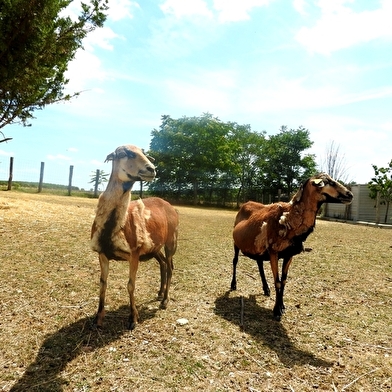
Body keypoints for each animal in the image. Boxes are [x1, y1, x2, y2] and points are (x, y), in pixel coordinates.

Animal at [91, 145, 178, 330]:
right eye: (126, 153)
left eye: (145, 154)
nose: (152, 169)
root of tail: (170, 205)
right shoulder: (102, 254)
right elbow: (103, 284)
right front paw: (98, 318)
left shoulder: (134, 254)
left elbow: (131, 285)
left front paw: (133, 319)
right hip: (155, 247)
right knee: (163, 264)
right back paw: (159, 294)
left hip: (171, 242)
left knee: (170, 267)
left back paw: (165, 300)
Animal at [231, 173, 354, 320]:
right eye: (329, 182)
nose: (350, 195)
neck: (289, 218)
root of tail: (246, 203)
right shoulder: (274, 252)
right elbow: (277, 281)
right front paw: (276, 311)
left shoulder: (289, 255)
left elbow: (284, 281)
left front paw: (282, 306)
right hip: (236, 244)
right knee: (235, 261)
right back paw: (233, 285)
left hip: (258, 249)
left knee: (259, 264)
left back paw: (266, 289)